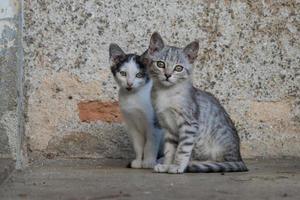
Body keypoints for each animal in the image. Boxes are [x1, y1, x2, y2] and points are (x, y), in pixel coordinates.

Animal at [144, 32, 248, 173]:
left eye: (178, 68)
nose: (167, 75)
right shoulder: (169, 129)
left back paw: (193, 164)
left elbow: (182, 149)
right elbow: (170, 151)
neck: (166, 93)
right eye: (160, 64)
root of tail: (239, 158)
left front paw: (177, 166)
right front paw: (167, 165)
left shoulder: (189, 125)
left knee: (220, 162)